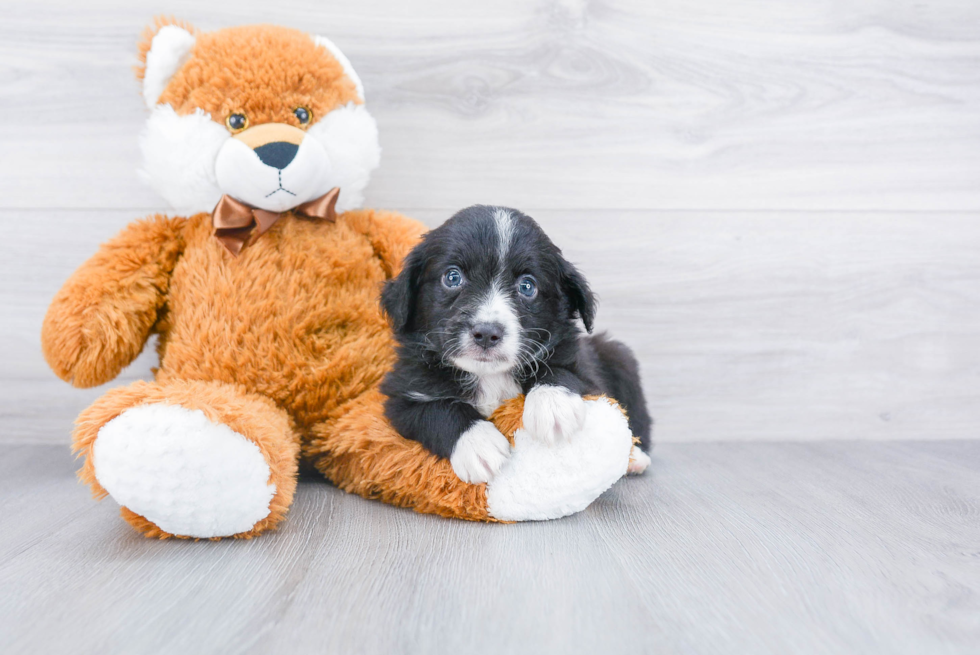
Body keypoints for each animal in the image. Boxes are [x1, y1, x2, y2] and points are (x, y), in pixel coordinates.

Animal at [380, 208, 652, 484]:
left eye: (527, 286)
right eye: (453, 277)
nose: (487, 333)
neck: (487, 375)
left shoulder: (587, 372)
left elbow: (562, 370)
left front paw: (553, 406)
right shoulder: (401, 396)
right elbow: (437, 409)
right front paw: (478, 444)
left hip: (619, 357)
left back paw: (635, 459)